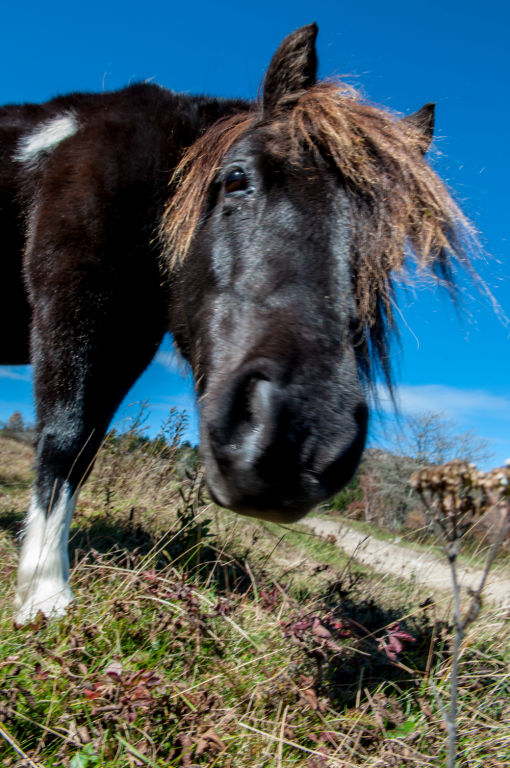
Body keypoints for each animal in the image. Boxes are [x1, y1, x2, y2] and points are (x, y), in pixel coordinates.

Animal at [1, 24, 473, 624]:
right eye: (235, 179)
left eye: (390, 251)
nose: (297, 442)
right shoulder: (74, 304)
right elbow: (65, 437)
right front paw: (44, 595)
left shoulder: (127, 338)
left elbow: (83, 449)